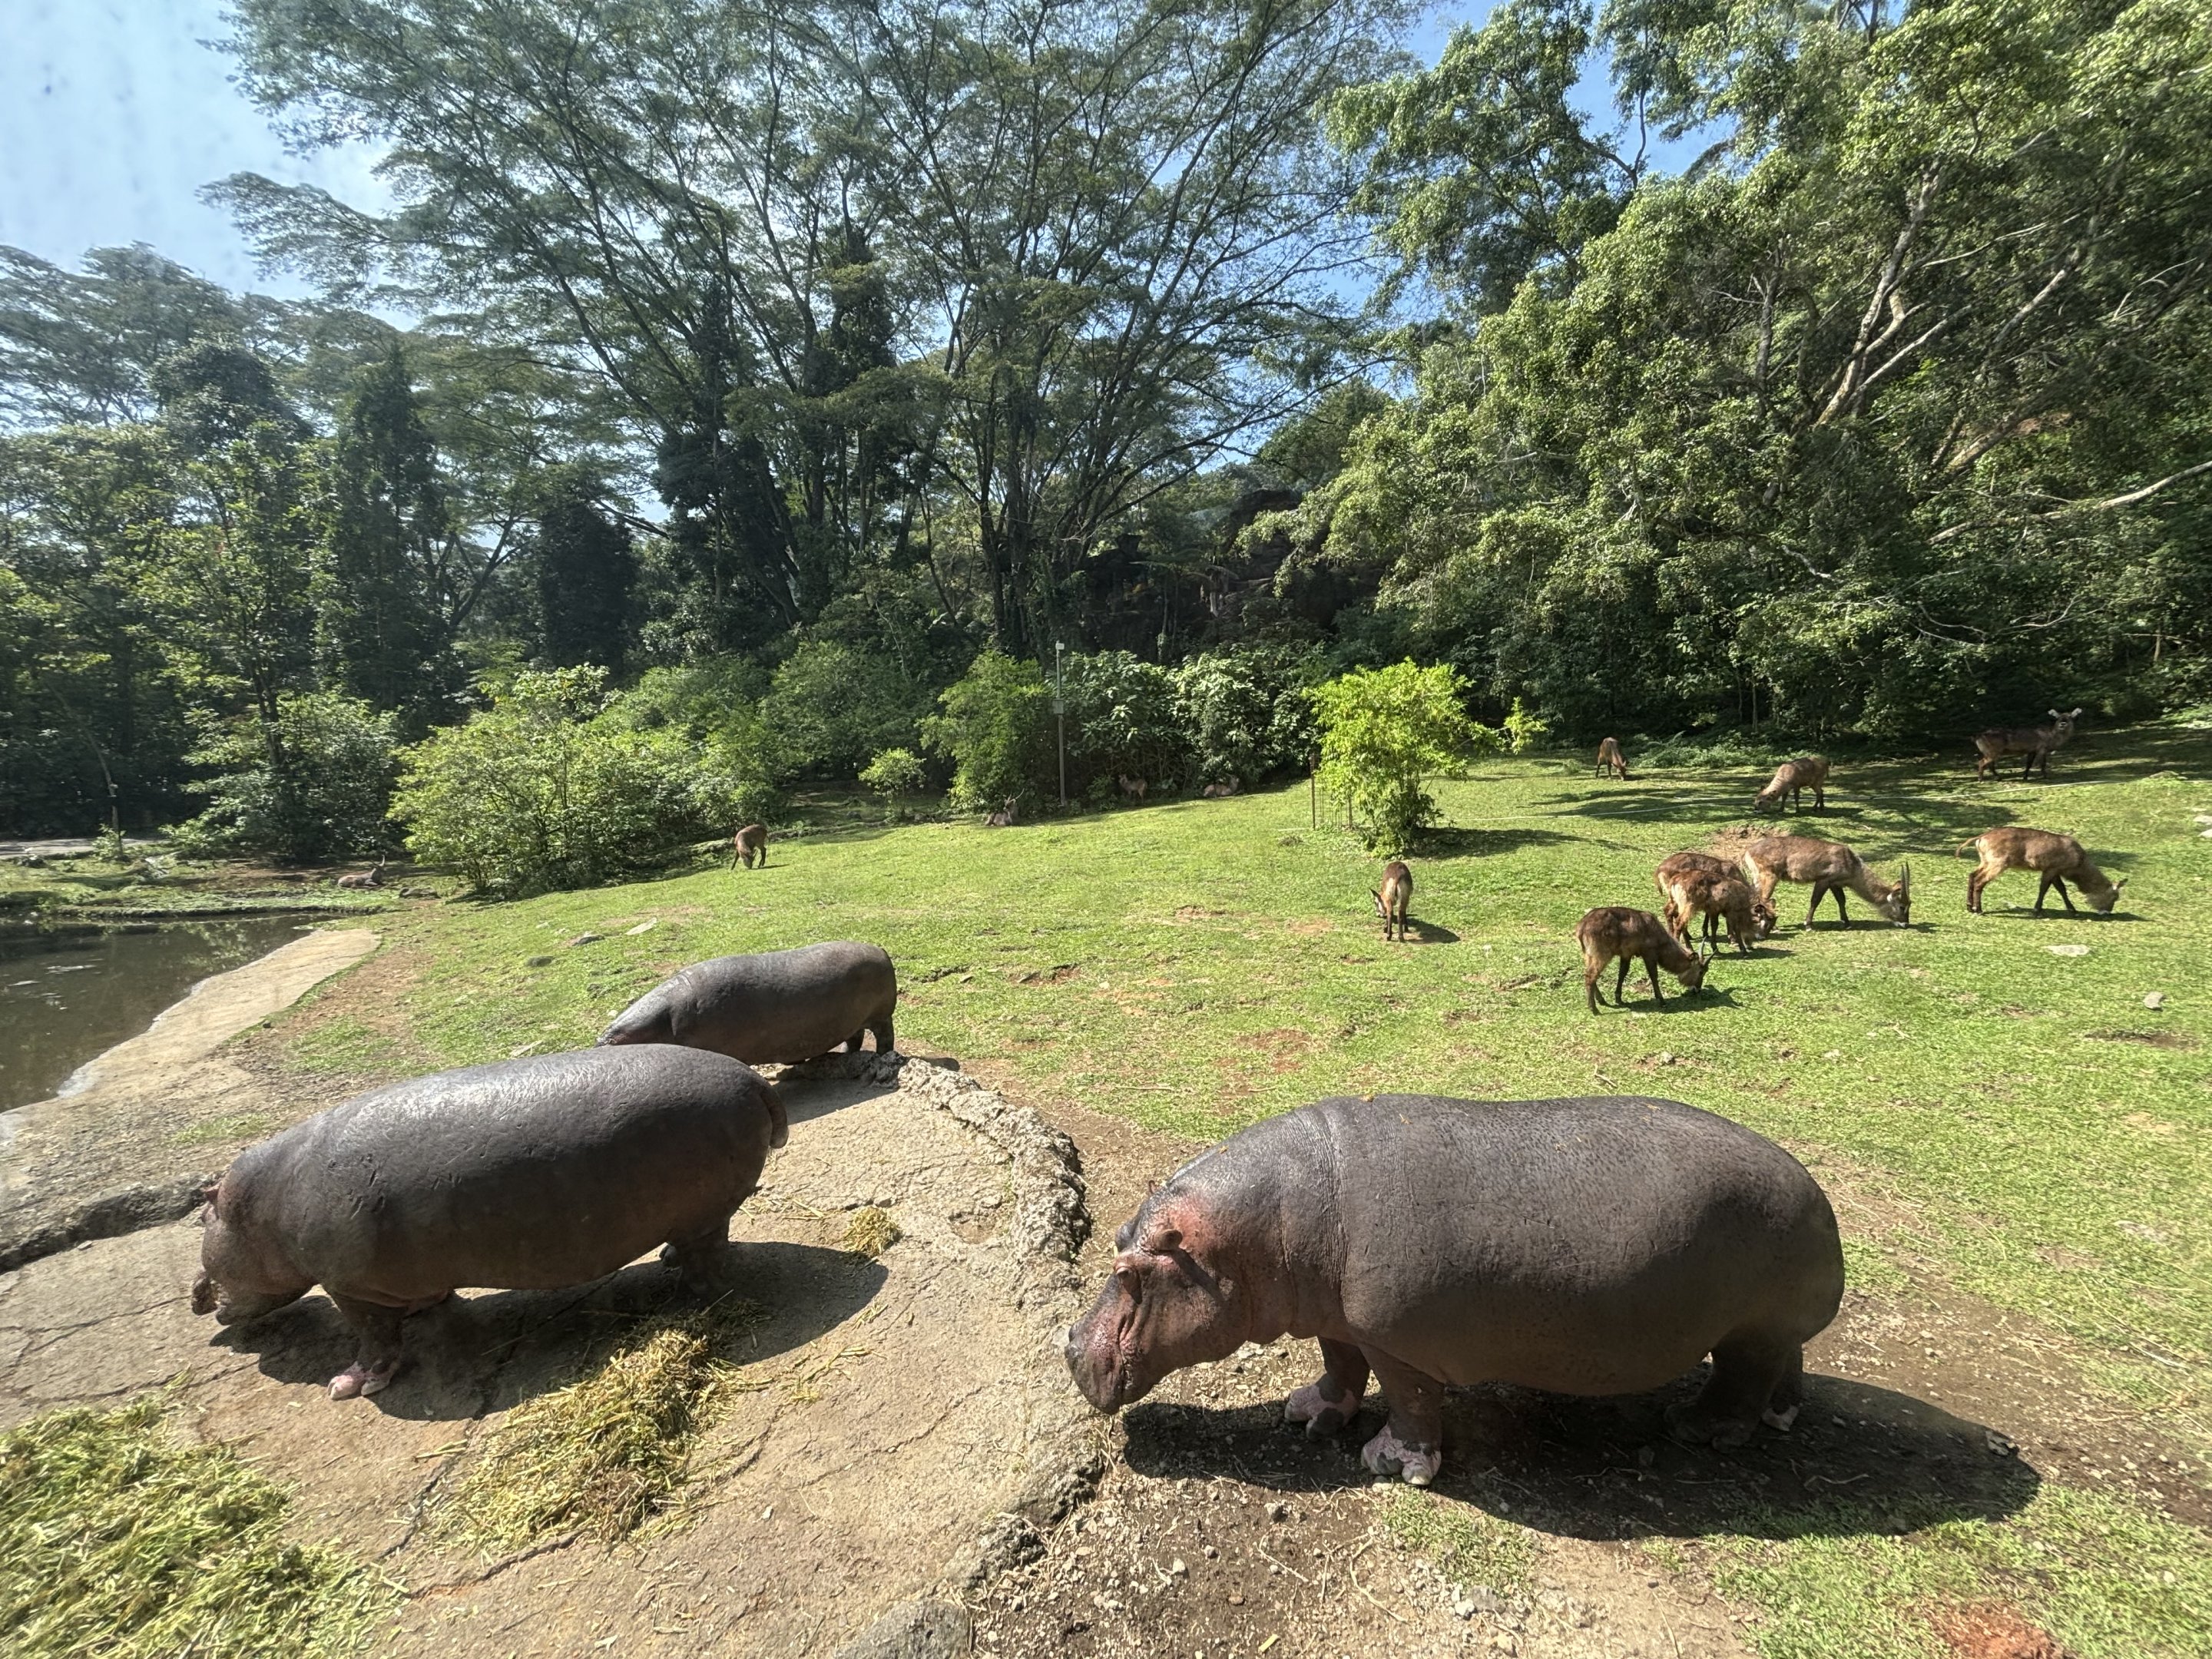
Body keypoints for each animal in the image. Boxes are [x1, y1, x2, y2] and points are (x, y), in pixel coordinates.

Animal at [191, 1045, 778, 1400]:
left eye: (201, 1213)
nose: (196, 1297)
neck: (262, 1204)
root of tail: (750, 1077)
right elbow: (417, 1304)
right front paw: (424, 1310)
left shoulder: (350, 1288)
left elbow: (374, 1339)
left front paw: (347, 1386)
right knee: (704, 1243)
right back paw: (671, 1261)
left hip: (703, 1212)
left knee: (709, 1260)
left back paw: (695, 1299)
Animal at [597, 943, 896, 1121]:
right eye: (601, 1039)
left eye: (614, 1040)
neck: (665, 1023)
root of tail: (881, 951)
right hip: (854, 1022)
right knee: (854, 1040)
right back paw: (845, 1057)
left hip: (882, 1017)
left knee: (885, 1039)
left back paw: (883, 1059)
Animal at [1066, 1094, 1844, 1485]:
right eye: (1113, 1245)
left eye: (1128, 1275)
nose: (1068, 1344)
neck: (1271, 1225)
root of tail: (1817, 1191)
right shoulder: (1338, 1319)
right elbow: (1338, 1365)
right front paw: (1309, 1415)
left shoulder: (1398, 1341)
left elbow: (1409, 1400)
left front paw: (1390, 1465)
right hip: (1767, 1325)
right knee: (1785, 1361)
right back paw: (1781, 1416)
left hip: (1751, 1325)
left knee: (1741, 1378)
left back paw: (1702, 1430)